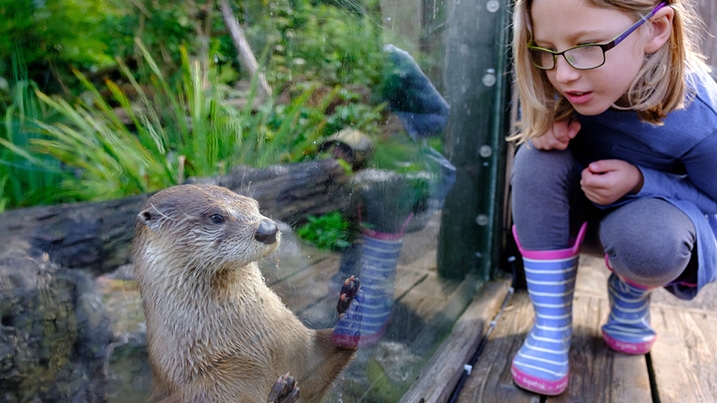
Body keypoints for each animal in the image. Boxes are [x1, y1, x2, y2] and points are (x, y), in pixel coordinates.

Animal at [131, 185, 358, 402]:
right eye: (216, 217)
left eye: (254, 205)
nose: (268, 229)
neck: (256, 347)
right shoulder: (207, 390)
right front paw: (281, 396)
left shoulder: (298, 344)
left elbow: (320, 361)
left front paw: (351, 308)